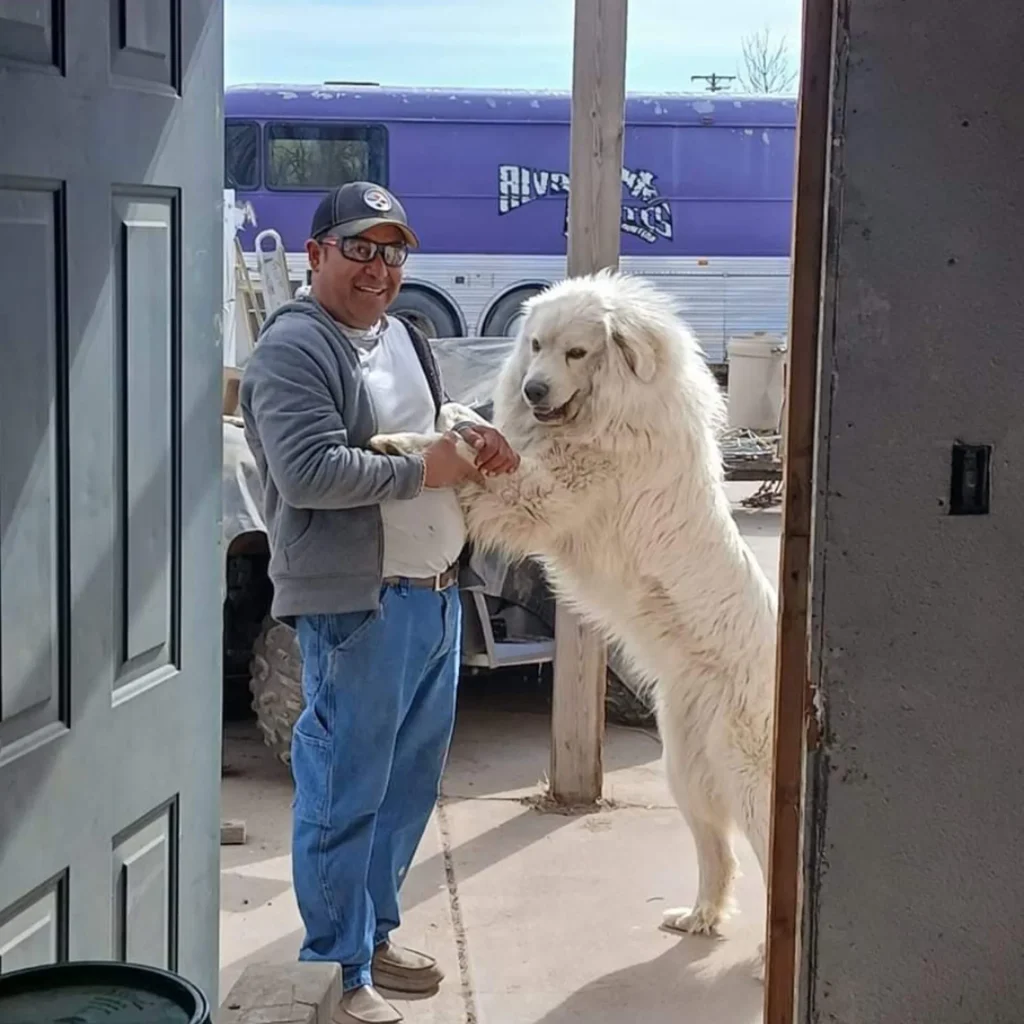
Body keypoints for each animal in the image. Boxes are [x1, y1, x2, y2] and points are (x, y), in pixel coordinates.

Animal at [372, 268, 778, 970]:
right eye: (534, 345)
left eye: (577, 353)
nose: (533, 389)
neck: (611, 411)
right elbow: (475, 433)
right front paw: (454, 418)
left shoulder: (542, 498)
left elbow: (472, 468)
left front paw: (410, 442)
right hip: (688, 772)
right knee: (717, 854)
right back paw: (698, 917)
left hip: (747, 778)